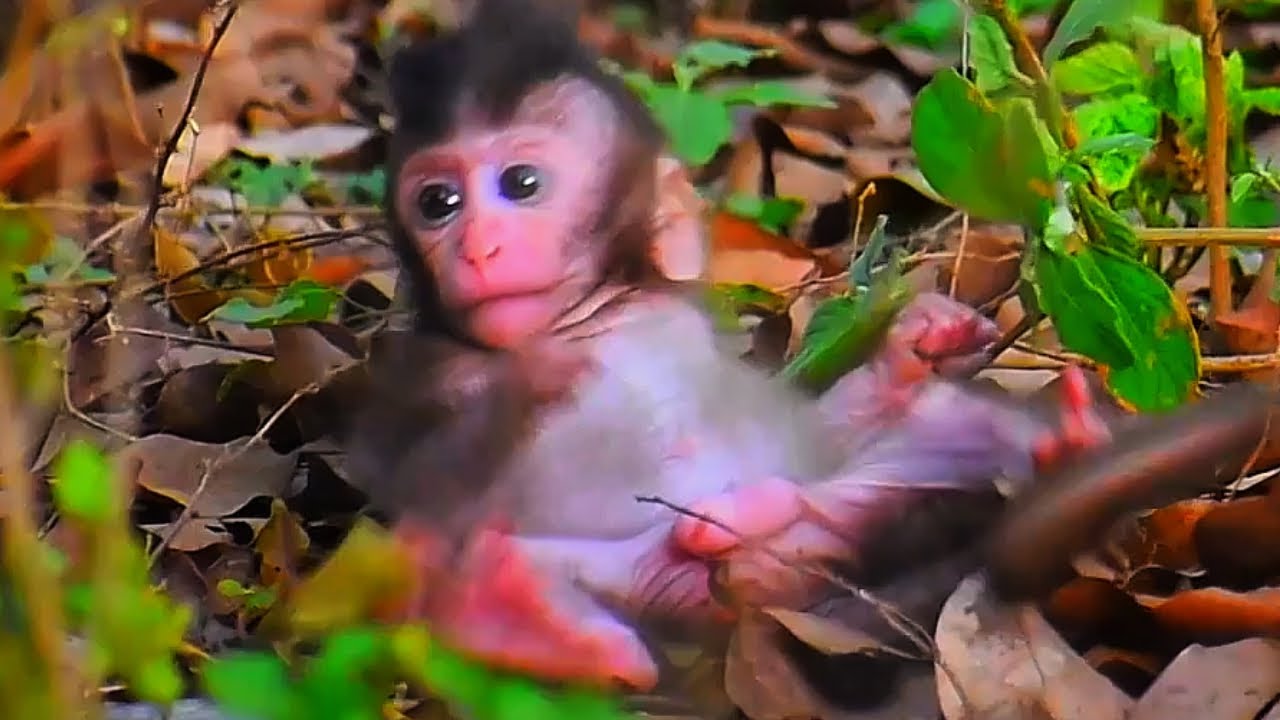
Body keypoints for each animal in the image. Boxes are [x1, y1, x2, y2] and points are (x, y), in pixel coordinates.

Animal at [347, 0, 1278, 696]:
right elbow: (418, 469)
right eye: (436, 202)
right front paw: (537, 377)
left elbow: (805, 431)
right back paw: (513, 616)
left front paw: (916, 344)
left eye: (522, 184)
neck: (592, 315)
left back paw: (1049, 445)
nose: (477, 248)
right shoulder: (420, 372)